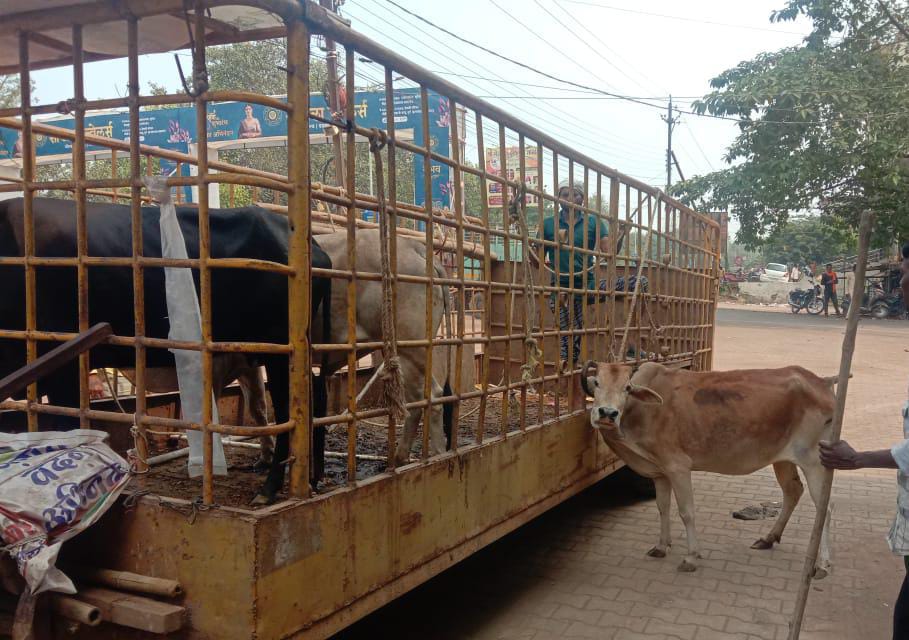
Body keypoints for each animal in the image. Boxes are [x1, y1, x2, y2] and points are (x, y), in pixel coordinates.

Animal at [0, 199, 332, 504]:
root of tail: (316, 248)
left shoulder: (64, 367)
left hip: (278, 352)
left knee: (291, 411)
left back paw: (270, 489)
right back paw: (311, 478)